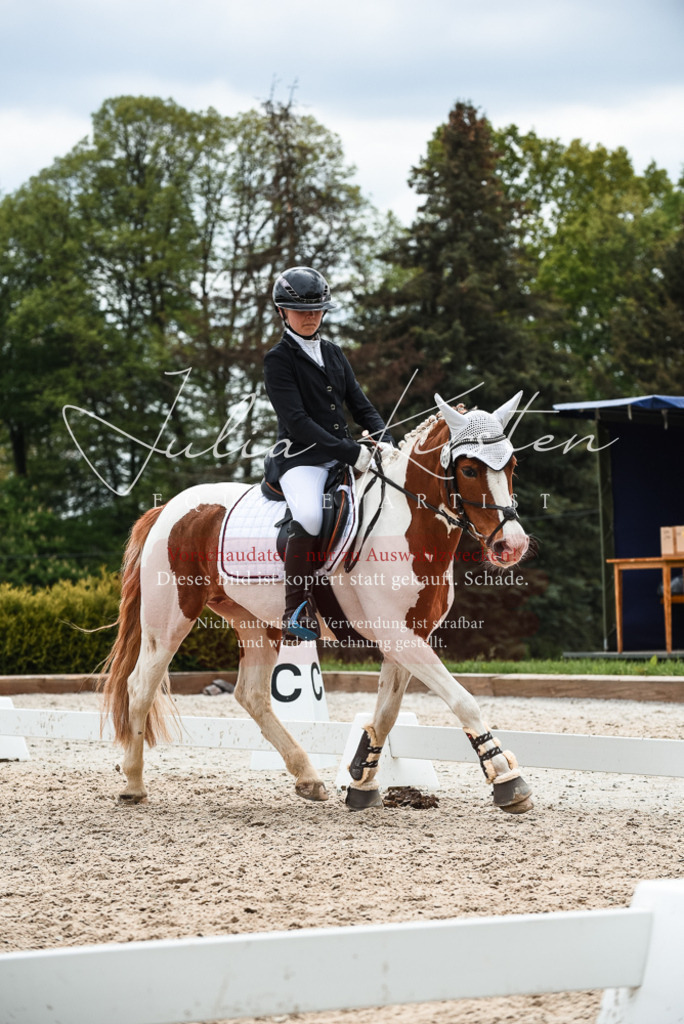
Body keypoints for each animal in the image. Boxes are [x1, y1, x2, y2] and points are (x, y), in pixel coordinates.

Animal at [101, 391, 534, 813]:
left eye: (512, 464)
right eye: (470, 470)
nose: (511, 546)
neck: (407, 525)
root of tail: (167, 509)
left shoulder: (408, 637)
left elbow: (387, 713)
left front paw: (361, 779)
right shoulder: (398, 636)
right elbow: (463, 701)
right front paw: (506, 779)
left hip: (256, 622)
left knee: (251, 695)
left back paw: (307, 778)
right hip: (170, 620)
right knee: (140, 687)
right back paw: (134, 784)